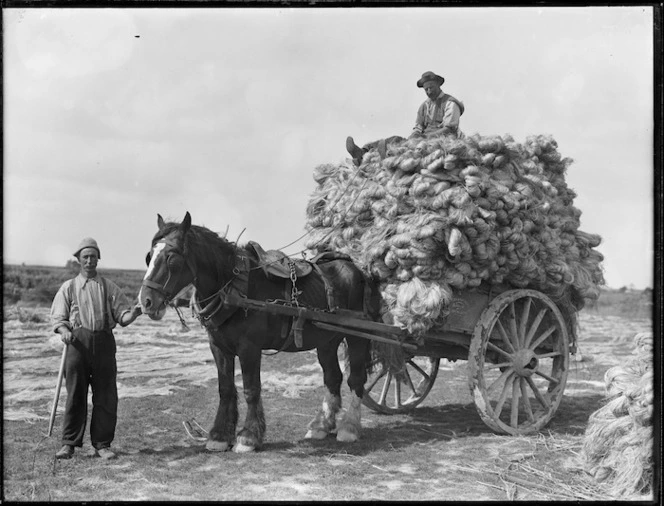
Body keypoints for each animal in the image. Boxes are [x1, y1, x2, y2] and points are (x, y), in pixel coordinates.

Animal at [137, 211, 376, 452]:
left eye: (172, 259)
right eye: (149, 257)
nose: (146, 301)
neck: (232, 287)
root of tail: (356, 269)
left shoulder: (249, 347)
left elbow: (251, 390)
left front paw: (248, 437)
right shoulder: (218, 347)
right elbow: (225, 389)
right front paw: (219, 436)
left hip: (356, 336)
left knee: (356, 379)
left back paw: (349, 427)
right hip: (326, 340)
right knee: (332, 377)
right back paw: (321, 425)